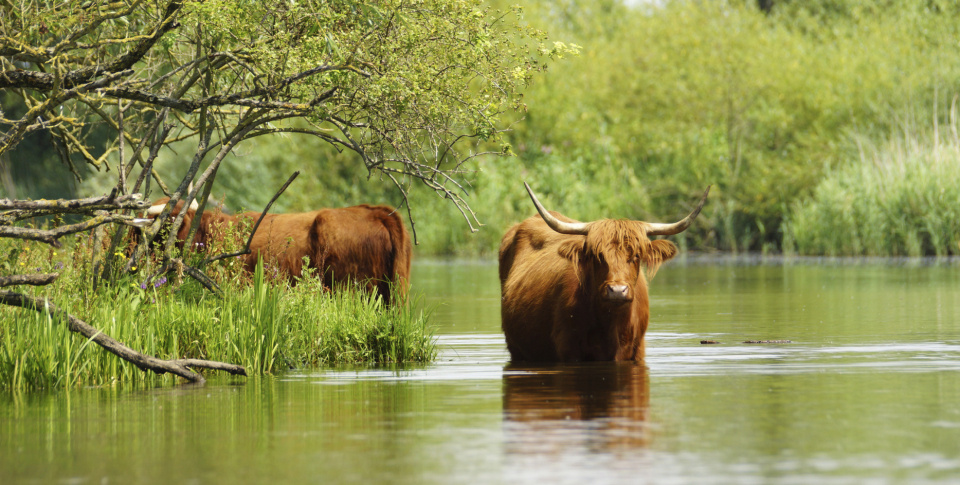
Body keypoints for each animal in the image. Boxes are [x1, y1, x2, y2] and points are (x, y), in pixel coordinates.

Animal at [498, 183, 708, 362]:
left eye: (637, 255)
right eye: (596, 255)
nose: (617, 291)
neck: (611, 325)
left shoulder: (637, 350)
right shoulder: (568, 350)